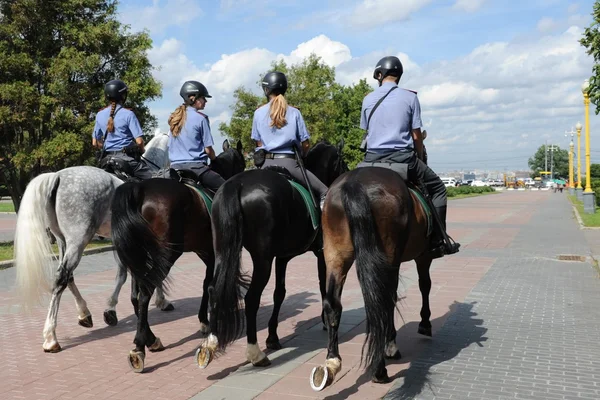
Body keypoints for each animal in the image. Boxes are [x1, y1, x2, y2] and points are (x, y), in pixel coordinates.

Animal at [14, 135, 169, 354]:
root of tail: (57, 176)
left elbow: (124, 274)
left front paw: (112, 310)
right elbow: (147, 272)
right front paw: (160, 300)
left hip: (63, 241)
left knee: (68, 277)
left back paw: (84, 313)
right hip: (78, 240)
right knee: (62, 278)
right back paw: (51, 336)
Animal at [109, 140, 245, 372]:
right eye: (243, 162)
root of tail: (139, 188)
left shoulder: (205, 252)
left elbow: (207, 284)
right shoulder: (212, 253)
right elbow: (207, 284)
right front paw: (205, 321)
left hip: (139, 254)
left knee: (136, 295)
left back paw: (150, 339)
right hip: (167, 255)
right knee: (144, 294)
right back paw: (139, 347)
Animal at [197, 140, 346, 368]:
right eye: (342, 161)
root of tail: (237, 185)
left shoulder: (282, 257)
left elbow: (279, 293)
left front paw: (273, 337)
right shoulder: (321, 254)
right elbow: (322, 287)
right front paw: (324, 320)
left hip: (223, 249)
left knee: (214, 289)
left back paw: (210, 344)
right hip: (262, 260)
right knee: (251, 298)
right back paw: (255, 353)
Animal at [310, 165, 436, 390]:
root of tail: (355, 182)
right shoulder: (423, 256)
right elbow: (423, 285)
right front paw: (421, 325)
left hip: (335, 254)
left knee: (333, 304)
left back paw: (332, 363)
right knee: (381, 302)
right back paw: (380, 369)